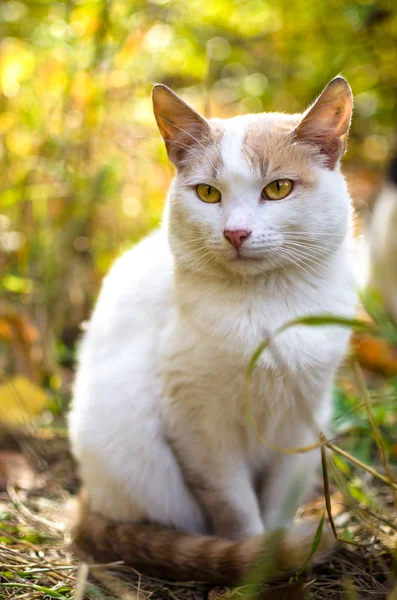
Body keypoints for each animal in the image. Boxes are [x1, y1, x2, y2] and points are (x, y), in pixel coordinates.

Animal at [68, 77, 356, 584]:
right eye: (207, 193)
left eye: (278, 188)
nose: (235, 233)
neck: (268, 307)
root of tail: (86, 493)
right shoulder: (199, 426)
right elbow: (235, 507)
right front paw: (256, 562)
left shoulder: (302, 418)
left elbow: (277, 501)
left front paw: (276, 553)